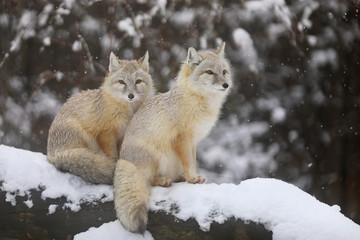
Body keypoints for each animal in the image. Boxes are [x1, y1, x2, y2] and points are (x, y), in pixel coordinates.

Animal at [47, 51, 154, 185]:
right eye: (122, 82)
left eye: (138, 81)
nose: (131, 96)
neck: (126, 112)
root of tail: (52, 154)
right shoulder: (106, 133)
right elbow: (113, 156)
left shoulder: (123, 135)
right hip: (84, 135)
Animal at [114, 42, 232, 233]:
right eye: (210, 72)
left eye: (224, 71)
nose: (226, 85)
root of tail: (123, 160)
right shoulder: (182, 139)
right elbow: (189, 163)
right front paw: (193, 179)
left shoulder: (194, 142)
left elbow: (192, 161)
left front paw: (193, 177)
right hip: (155, 156)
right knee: (149, 180)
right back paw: (164, 180)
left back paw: (177, 177)